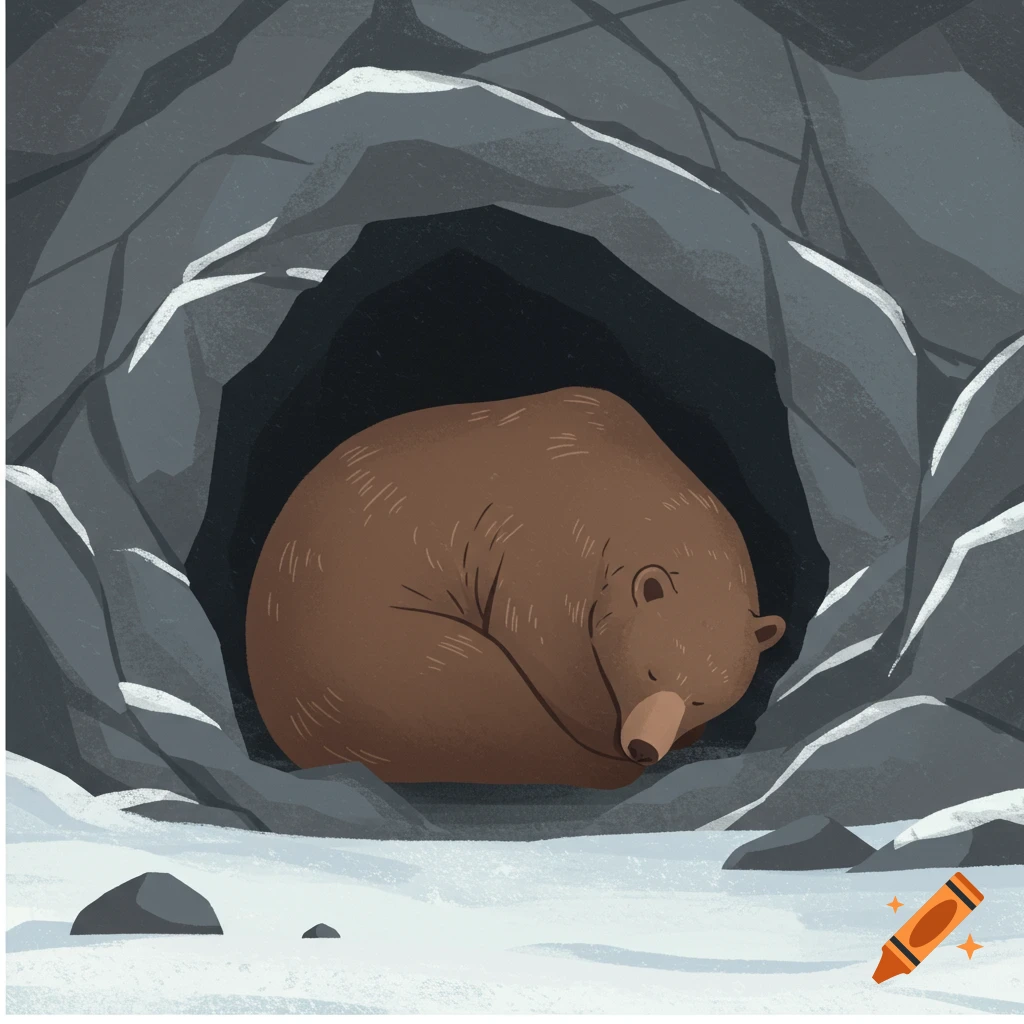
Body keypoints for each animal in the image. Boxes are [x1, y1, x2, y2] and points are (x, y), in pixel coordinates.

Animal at [245, 387, 785, 788]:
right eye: (650, 671)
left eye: (702, 698)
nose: (643, 747)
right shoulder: (544, 546)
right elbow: (556, 657)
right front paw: (599, 733)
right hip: (379, 666)